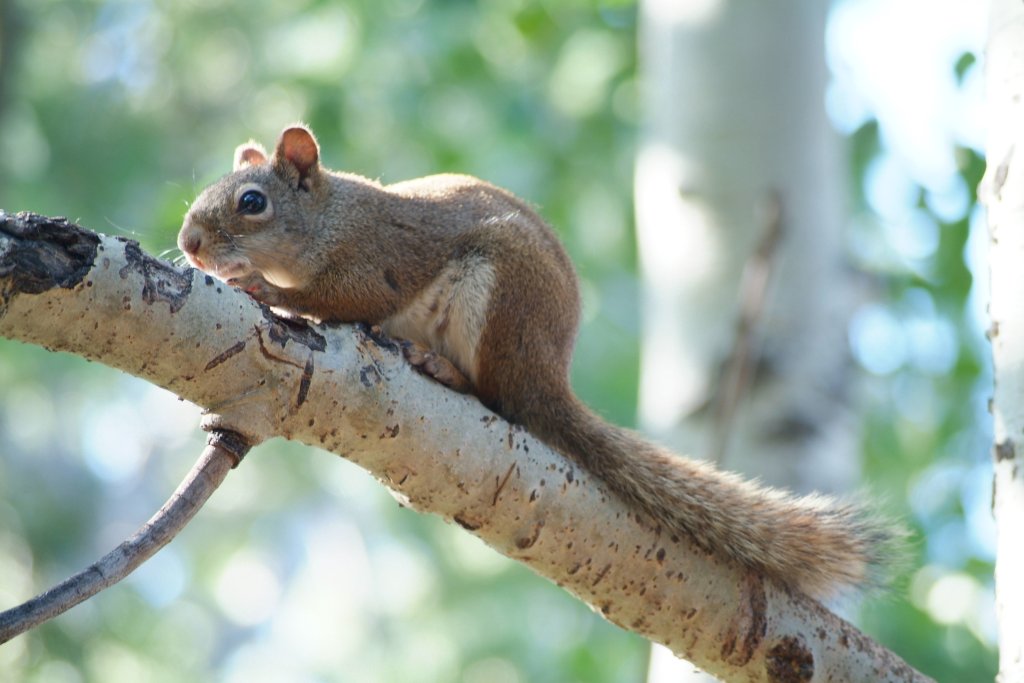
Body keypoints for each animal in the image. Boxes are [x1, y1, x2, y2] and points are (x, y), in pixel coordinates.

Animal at [180, 125, 901, 602]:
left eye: (252, 202)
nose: (189, 244)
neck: (330, 216)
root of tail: (548, 380)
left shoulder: (378, 257)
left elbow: (346, 298)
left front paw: (262, 287)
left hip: (500, 301)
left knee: (497, 396)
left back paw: (444, 369)